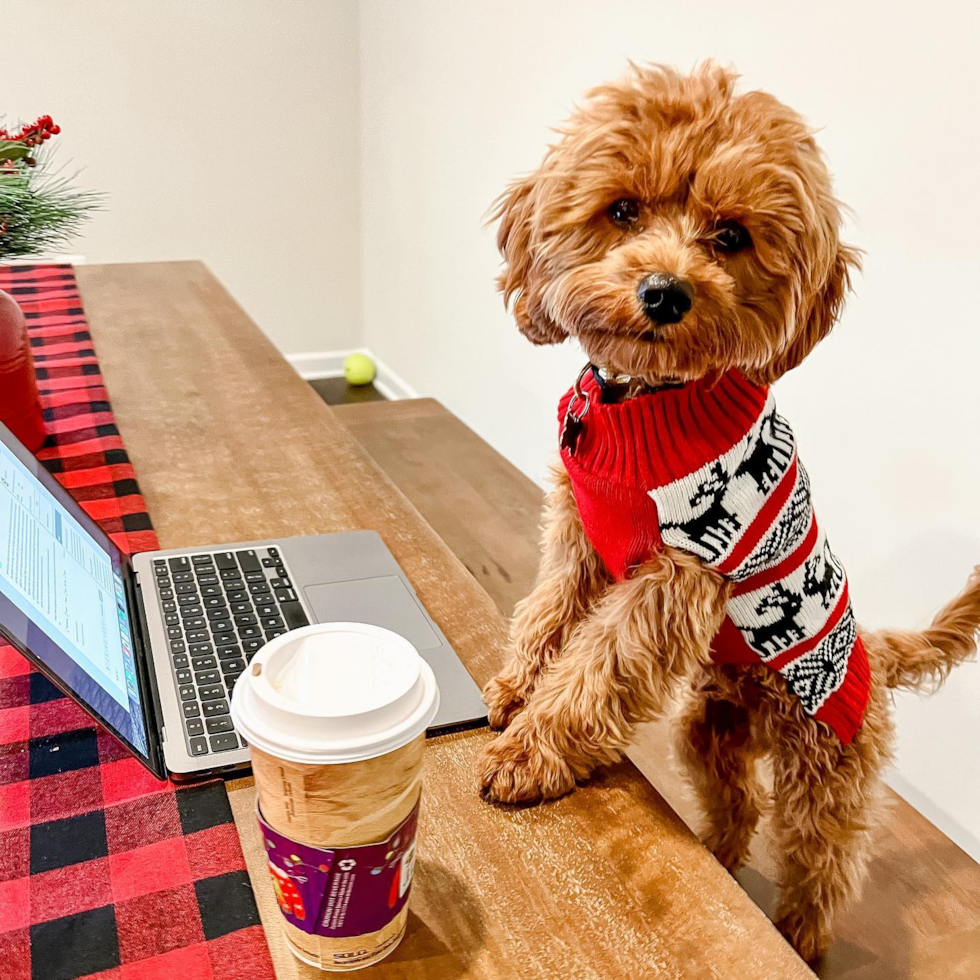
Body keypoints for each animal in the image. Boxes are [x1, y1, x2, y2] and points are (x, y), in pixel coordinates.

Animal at [478, 65, 980, 960]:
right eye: (622, 211)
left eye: (732, 236)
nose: (664, 293)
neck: (644, 401)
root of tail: (876, 653)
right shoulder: (579, 532)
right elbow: (546, 614)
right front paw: (515, 688)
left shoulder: (676, 577)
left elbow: (595, 667)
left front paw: (530, 753)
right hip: (712, 729)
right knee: (737, 805)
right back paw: (716, 852)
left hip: (827, 771)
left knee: (824, 864)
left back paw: (800, 937)